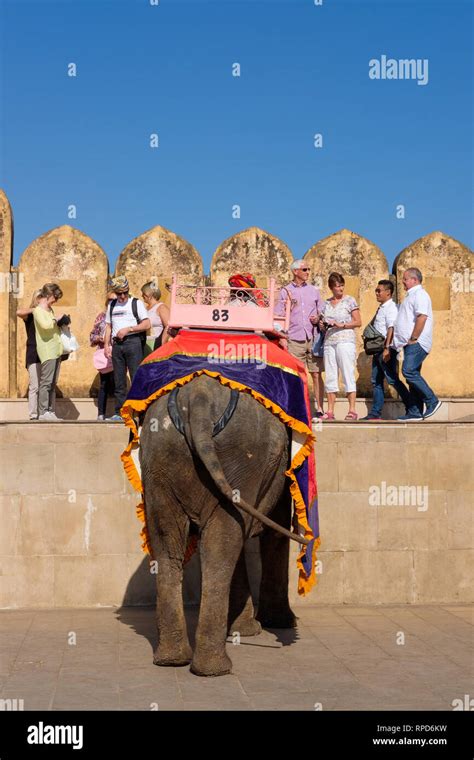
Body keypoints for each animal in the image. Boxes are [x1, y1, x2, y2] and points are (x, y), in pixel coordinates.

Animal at [139, 374, 308, 676]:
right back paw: (215, 669)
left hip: (161, 457)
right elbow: (273, 529)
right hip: (239, 457)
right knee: (221, 546)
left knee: (169, 544)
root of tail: (198, 398)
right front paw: (280, 623)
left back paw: (173, 660)